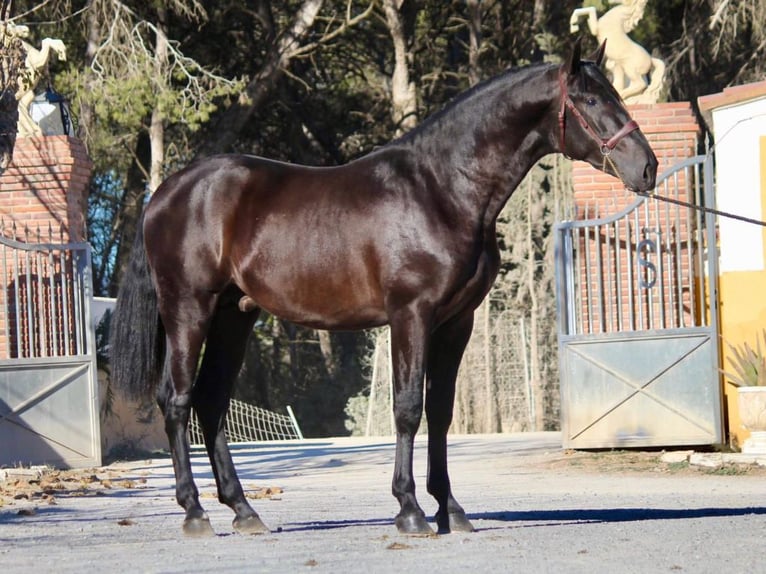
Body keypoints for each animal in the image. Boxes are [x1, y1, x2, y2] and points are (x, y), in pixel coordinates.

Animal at [111, 42, 656, 536]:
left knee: (211, 401)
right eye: (591, 100)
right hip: (189, 309)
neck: (441, 189)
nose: (647, 167)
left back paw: (244, 512)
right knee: (177, 400)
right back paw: (195, 512)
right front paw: (410, 510)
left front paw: (450, 510)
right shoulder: (410, 314)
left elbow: (440, 411)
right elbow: (408, 408)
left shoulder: (456, 322)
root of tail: (166, 192)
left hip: (235, 315)